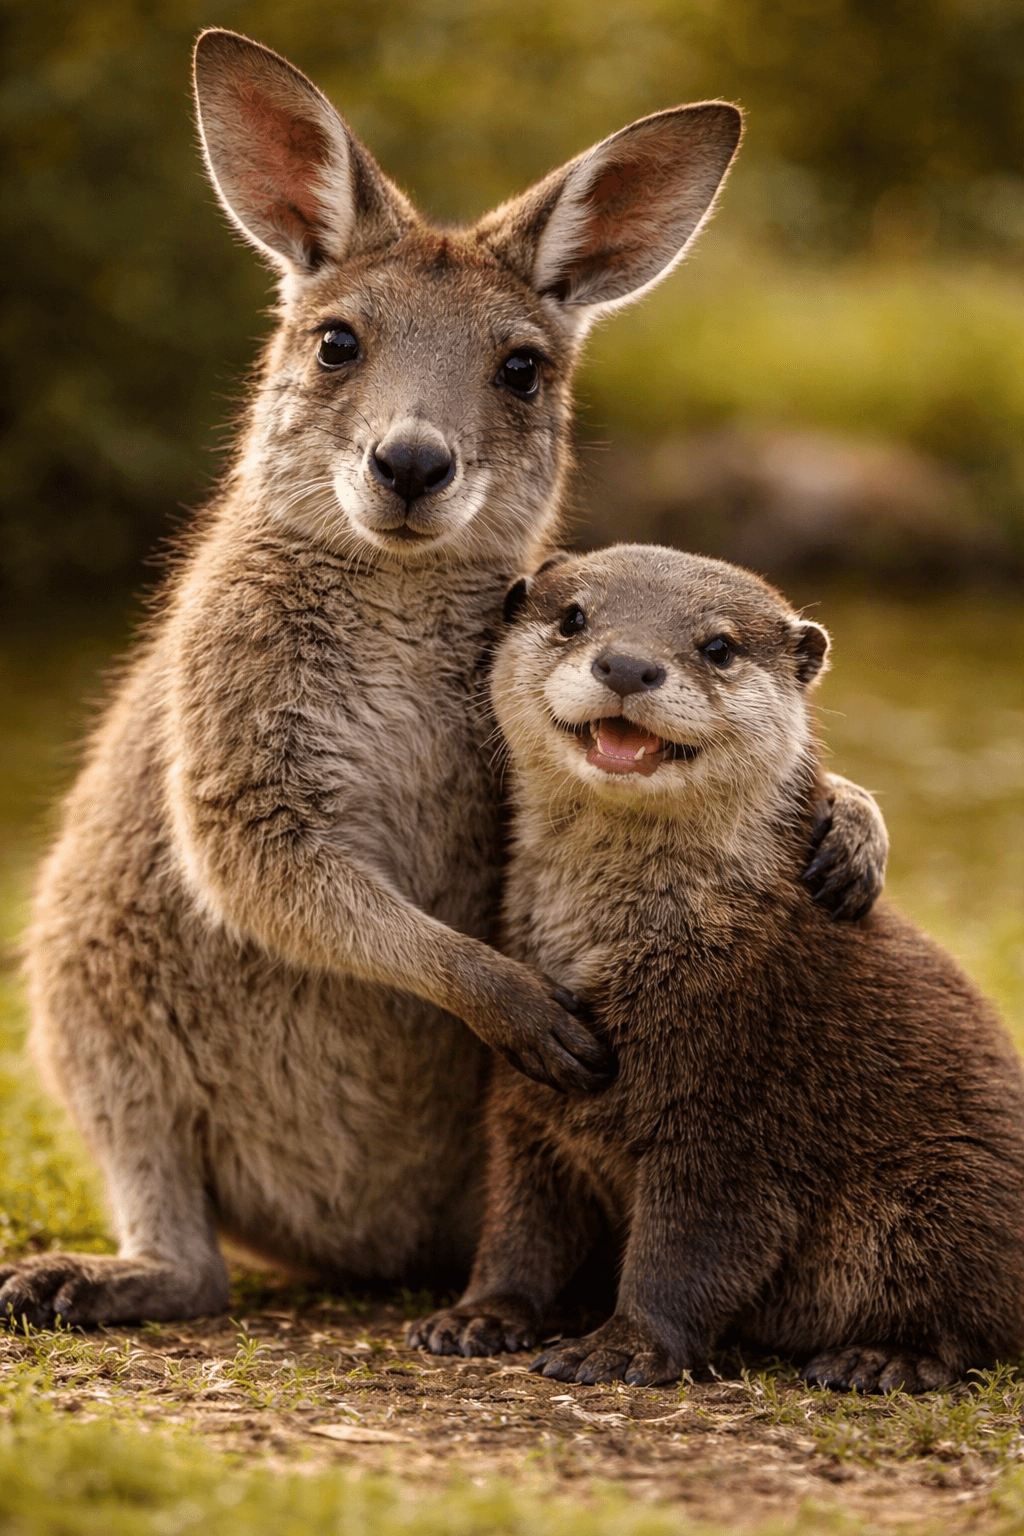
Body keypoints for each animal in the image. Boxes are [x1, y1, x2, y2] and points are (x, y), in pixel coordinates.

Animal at [409, 545, 1024, 1391]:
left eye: (719, 646)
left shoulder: (740, 1116)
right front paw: (480, 1315)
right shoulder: (530, 1097)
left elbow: (687, 1251)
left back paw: (881, 1357)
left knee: (974, 1316)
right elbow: (518, 1225)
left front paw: (623, 1347)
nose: (628, 664)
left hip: (954, 1192)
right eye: (574, 617)